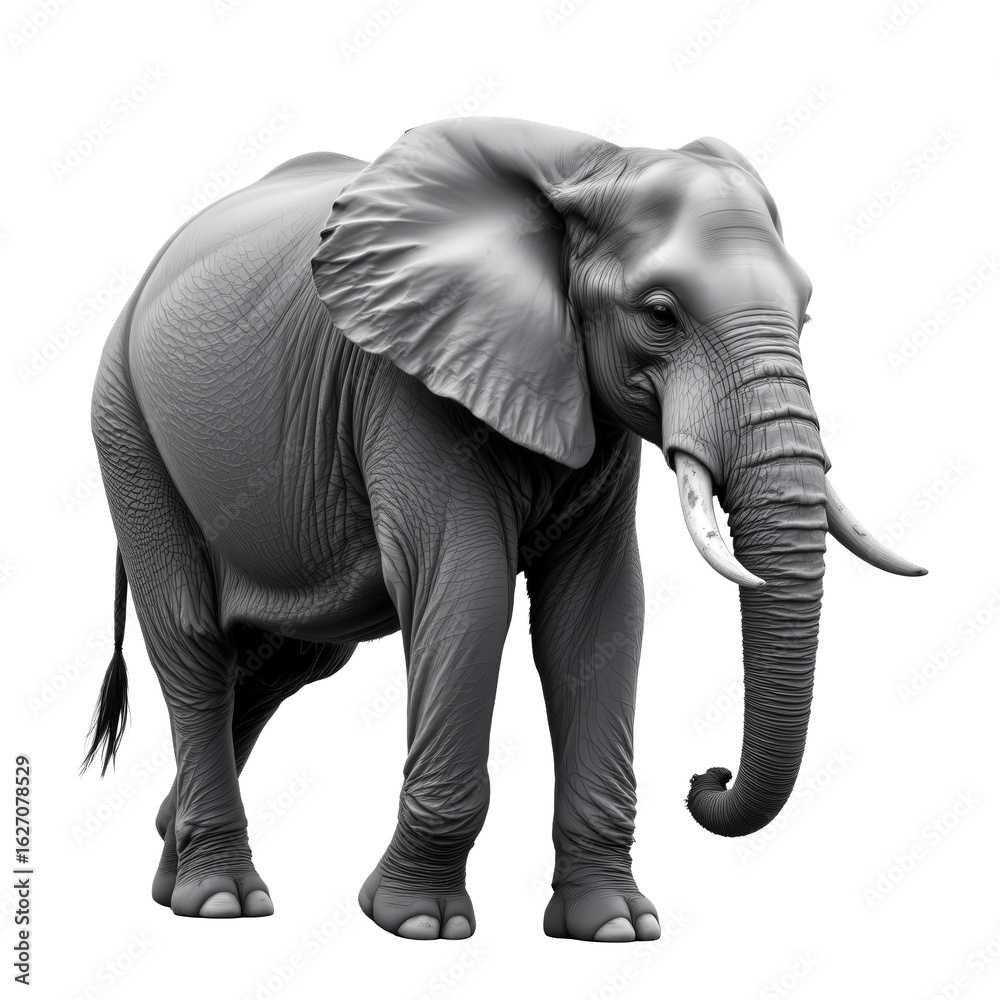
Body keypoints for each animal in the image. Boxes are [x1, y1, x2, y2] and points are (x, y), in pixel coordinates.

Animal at [84, 116, 925, 941]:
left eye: (805, 314)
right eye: (660, 314)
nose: (705, 776)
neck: (591, 163)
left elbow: (598, 613)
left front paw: (614, 925)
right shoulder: (409, 385)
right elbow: (469, 590)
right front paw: (419, 923)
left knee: (280, 664)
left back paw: (173, 871)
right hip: (127, 429)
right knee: (195, 645)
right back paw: (221, 901)